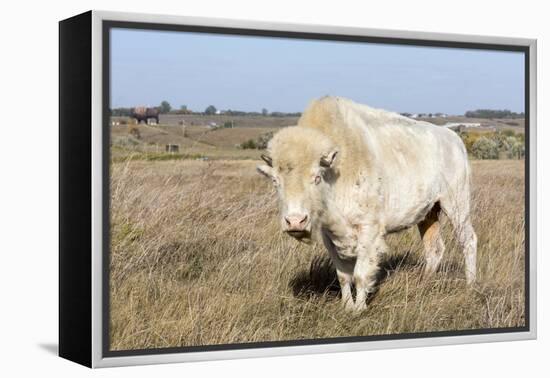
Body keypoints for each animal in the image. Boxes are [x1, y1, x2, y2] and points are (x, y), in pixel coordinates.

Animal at [258, 96, 478, 312]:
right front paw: (347, 306)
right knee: (434, 248)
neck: (336, 171)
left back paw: (470, 286)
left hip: (456, 204)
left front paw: (359, 309)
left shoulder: (368, 230)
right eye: (275, 181)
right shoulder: (330, 235)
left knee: (468, 240)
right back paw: (423, 283)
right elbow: (343, 275)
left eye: (316, 177)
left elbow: (361, 273)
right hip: (429, 213)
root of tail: (454, 139)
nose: (295, 221)